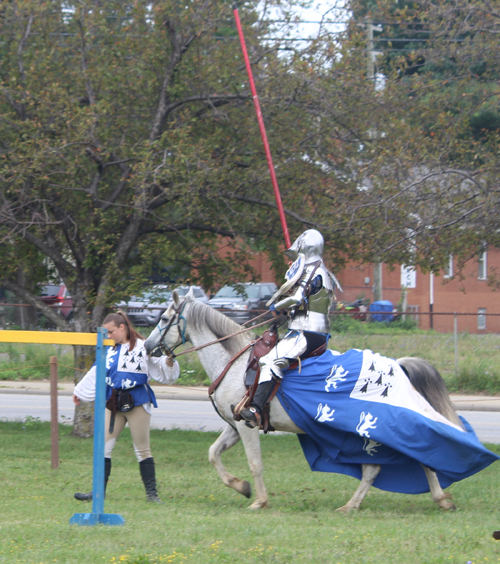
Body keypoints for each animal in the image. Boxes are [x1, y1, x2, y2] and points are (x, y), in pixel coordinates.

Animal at [143, 294, 458, 512]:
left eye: (164, 318)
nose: (147, 346)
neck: (233, 361)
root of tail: (398, 366)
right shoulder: (235, 425)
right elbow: (213, 454)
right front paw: (241, 487)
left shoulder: (246, 426)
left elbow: (255, 463)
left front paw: (259, 500)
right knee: (378, 468)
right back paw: (355, 505)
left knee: (418, 457)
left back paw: (437, 499)